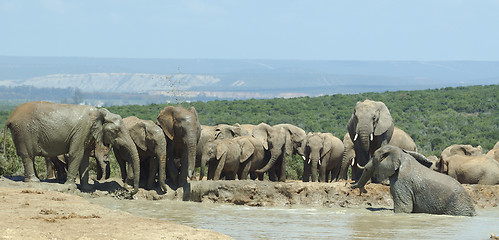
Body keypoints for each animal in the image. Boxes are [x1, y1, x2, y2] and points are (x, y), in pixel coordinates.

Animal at [3, 101, 141, 193]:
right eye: (116, 131)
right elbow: (76, 154)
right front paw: (71, 187)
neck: (99, 113)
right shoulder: (81, 131)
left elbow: (84, 158)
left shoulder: (87, 134)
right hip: (24, 132)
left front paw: (87, 188)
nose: (130, 192)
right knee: (27, 156)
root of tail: (10, 118)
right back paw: (34, 181)